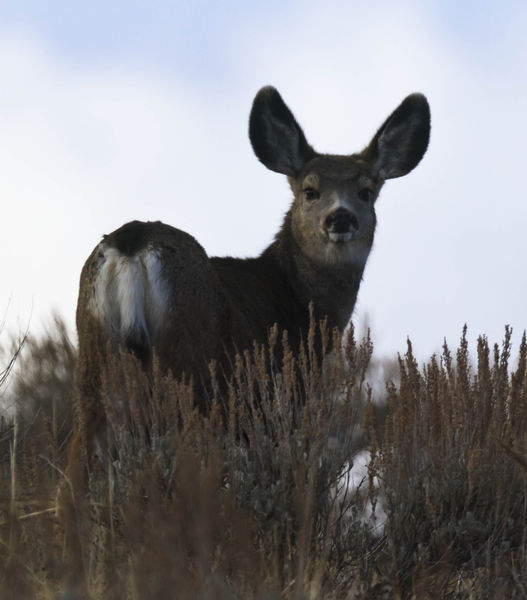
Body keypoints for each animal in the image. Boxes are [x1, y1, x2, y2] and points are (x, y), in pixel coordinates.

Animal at [70, 84, 432, 468]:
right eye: (310, 190)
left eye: (366, 192)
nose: (340, 217)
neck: (295, 296)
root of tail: (133, 242)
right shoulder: (284, 398)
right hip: (189, 362)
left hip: (93, 351)